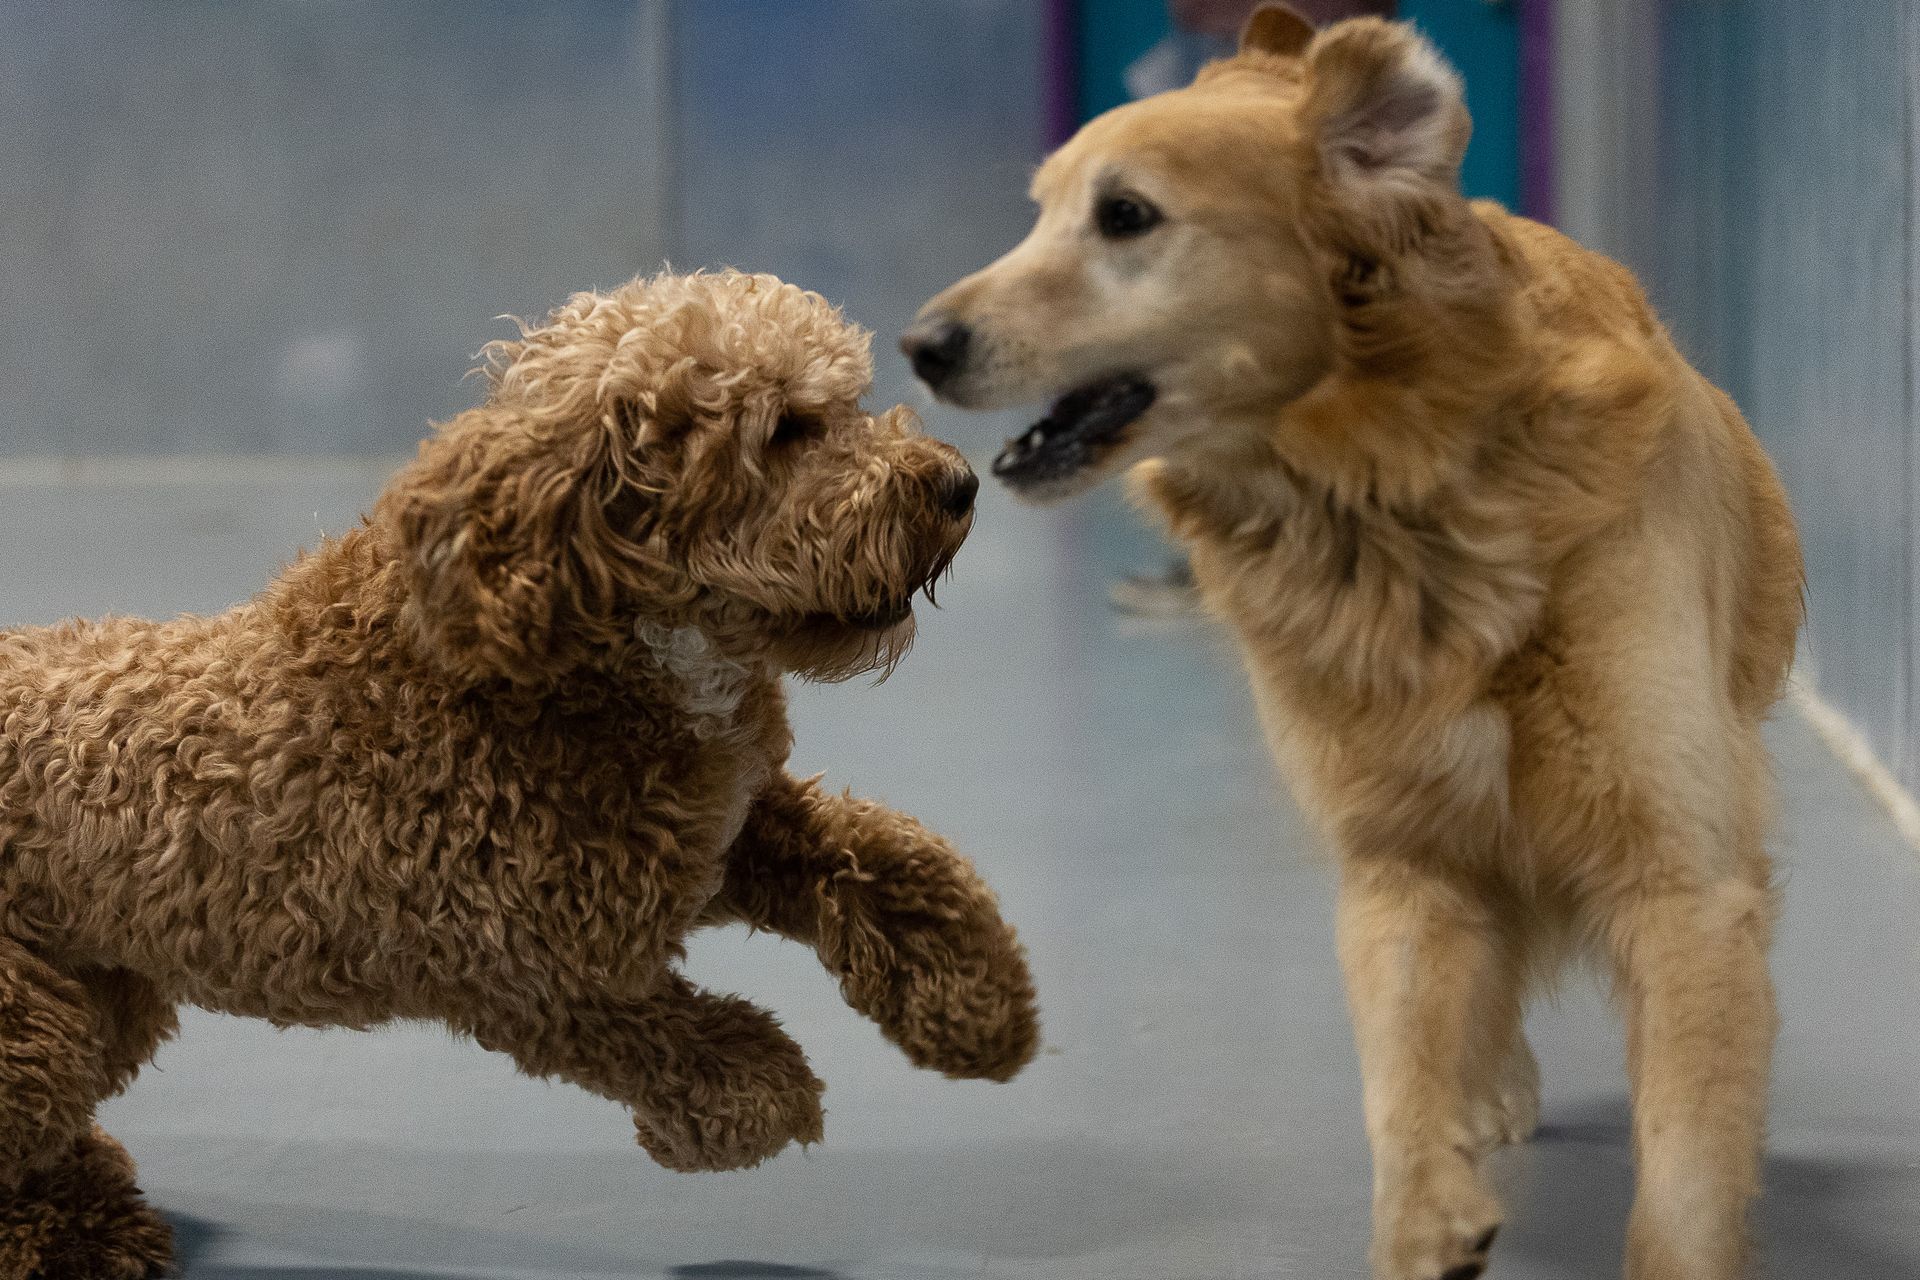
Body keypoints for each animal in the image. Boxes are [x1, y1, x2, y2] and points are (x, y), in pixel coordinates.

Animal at [0, 270, 1044, 1280]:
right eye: (785, 429)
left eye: (850, 400)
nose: (959, 484)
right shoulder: (530, 970)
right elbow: (686, 1042)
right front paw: (738, 1111)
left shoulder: (728, 830)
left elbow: (893, 866)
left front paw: (978, 1008)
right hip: (32, 1029)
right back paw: (73, 1235)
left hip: (104, 994)